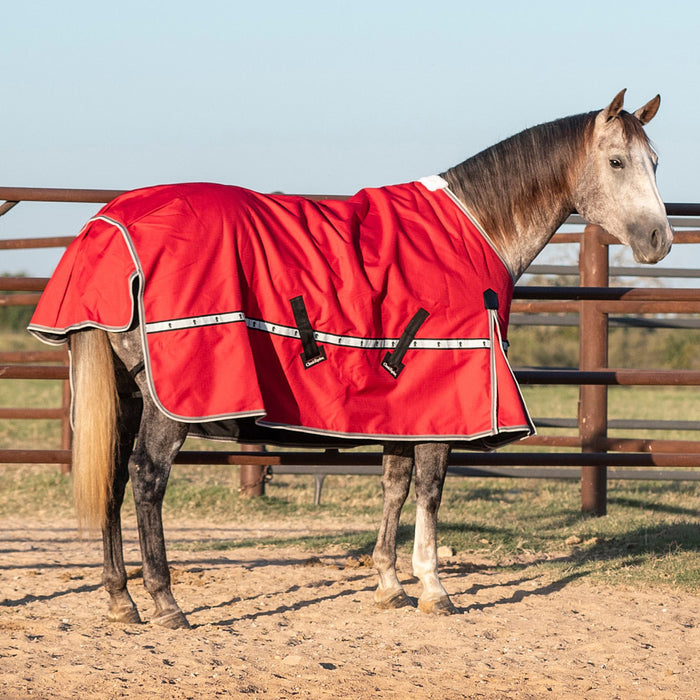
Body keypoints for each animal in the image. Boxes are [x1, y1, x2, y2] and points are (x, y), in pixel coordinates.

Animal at [29, 89, 672, 629]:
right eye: (618, 162)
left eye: (656, 162)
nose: (660, 241)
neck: (476, 229)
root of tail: (107, 229)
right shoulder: (444, 402)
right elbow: (430, 490)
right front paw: (434, 589)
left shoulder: (405, 407)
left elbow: (394, 484)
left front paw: (389, 584)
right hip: (171, 401)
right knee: (146, 479)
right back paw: (165, 602)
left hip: (126, 391)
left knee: (113, 479)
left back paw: (121, 599)